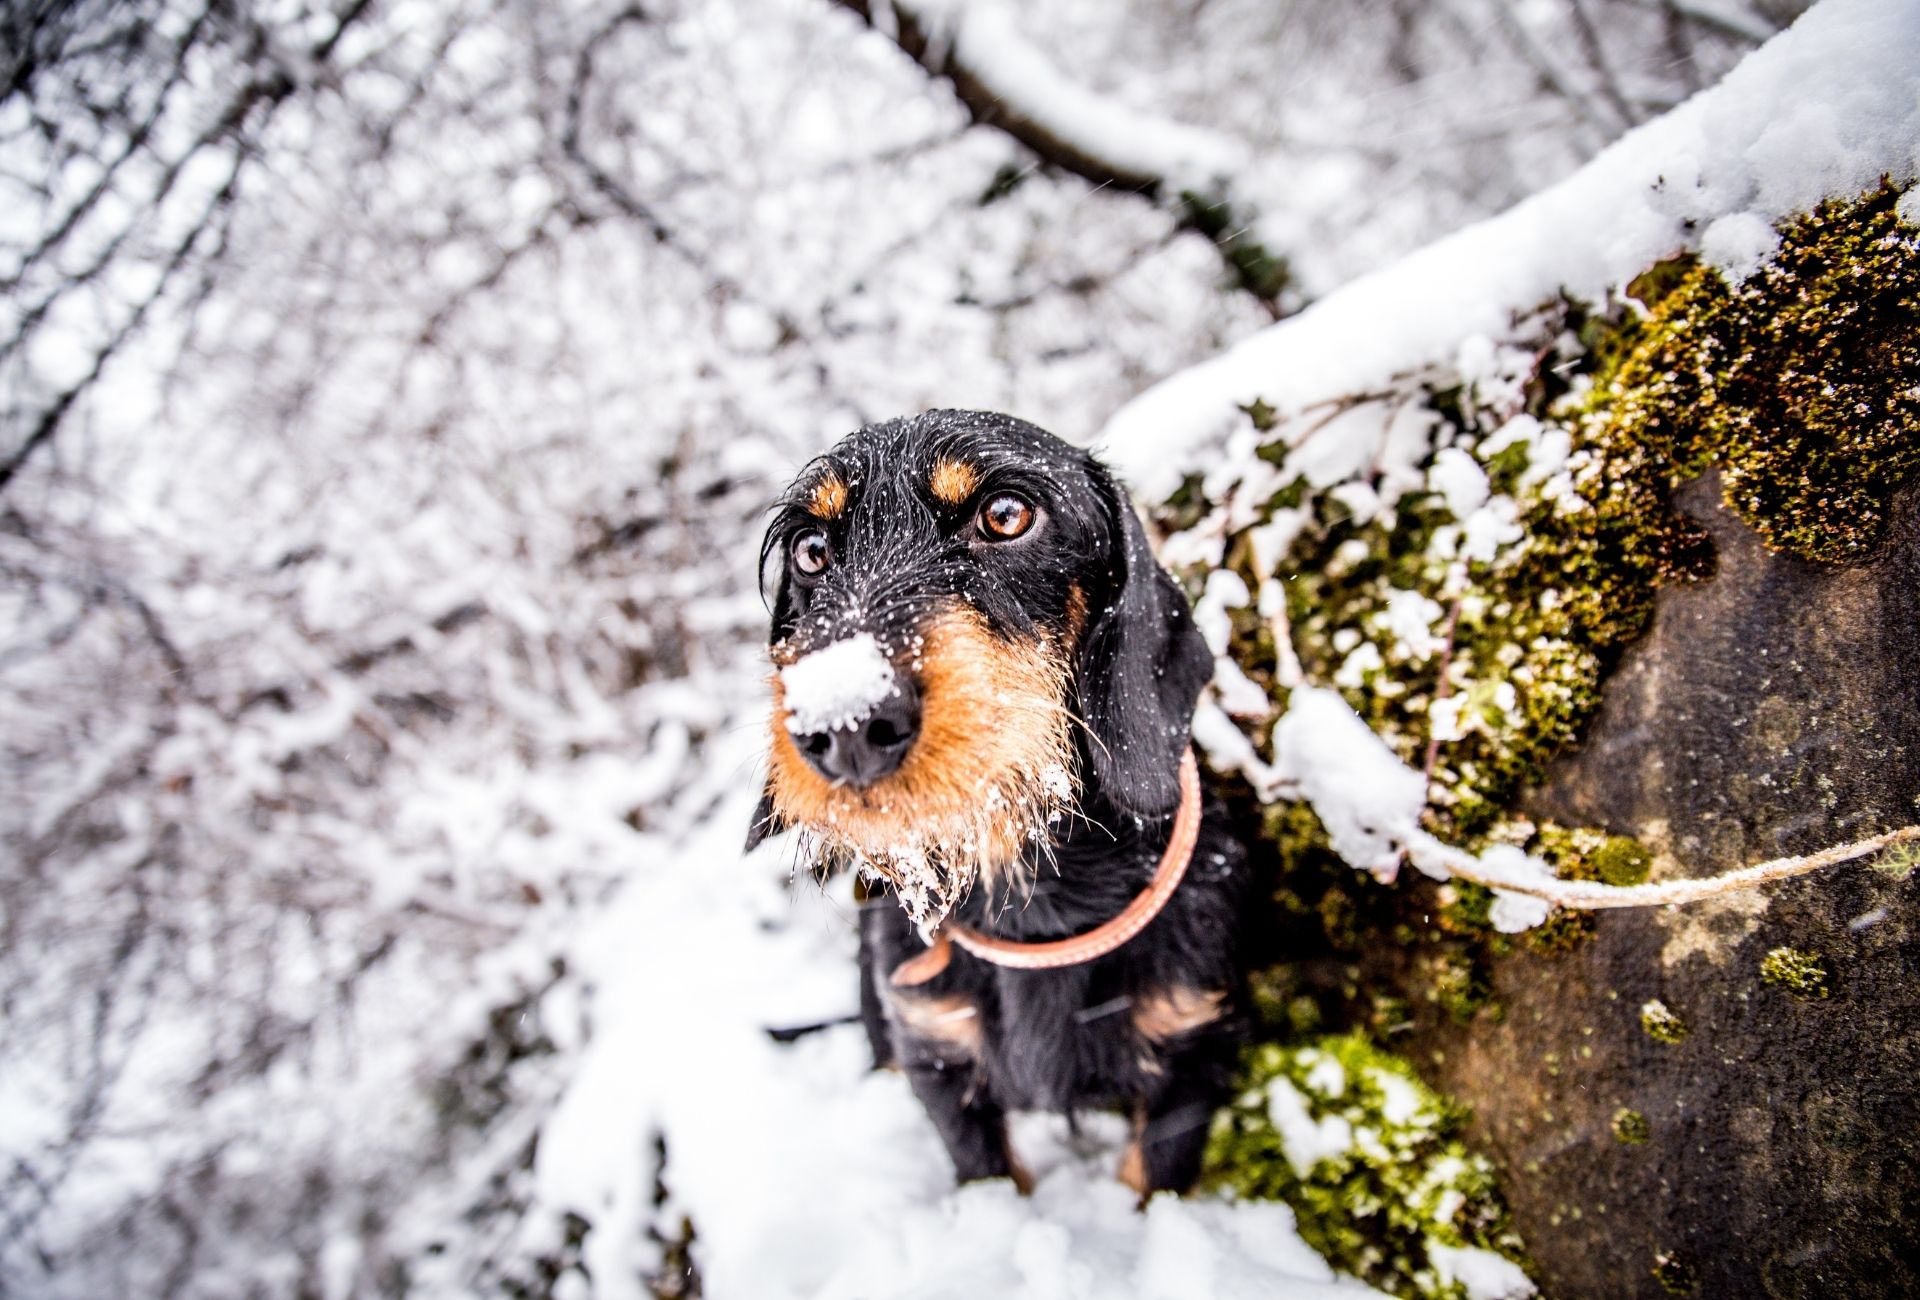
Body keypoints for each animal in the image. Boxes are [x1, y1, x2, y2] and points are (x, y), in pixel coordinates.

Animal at [748, 410, 1244, 1190]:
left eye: (1006, 515)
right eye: (811, 550)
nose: (845, 725)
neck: (1036, 898)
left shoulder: (1189, 1059)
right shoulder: (938, 1060)